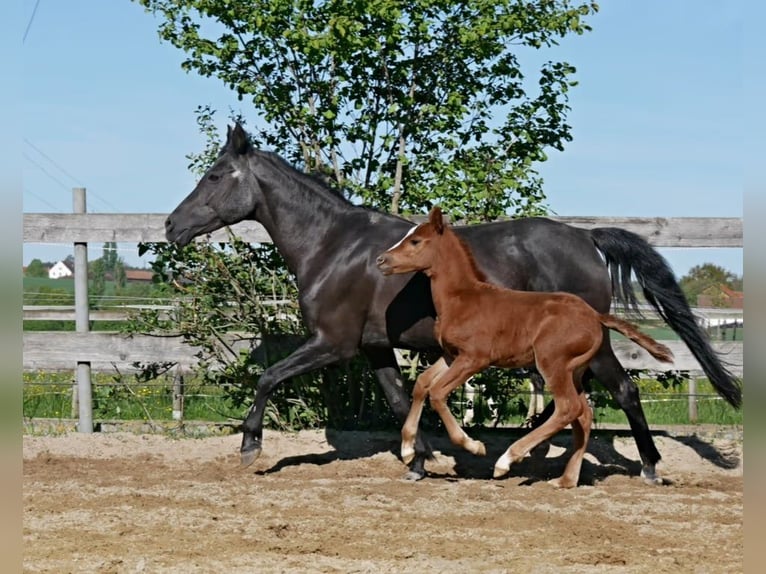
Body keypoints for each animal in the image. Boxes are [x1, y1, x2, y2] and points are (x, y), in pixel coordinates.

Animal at [376, 209, 672, 488]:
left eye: (415, 241)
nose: (381, 260)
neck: (463, 298)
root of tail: (595, 315)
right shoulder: (451, 356)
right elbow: (422, 384)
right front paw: (406, 450)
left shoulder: (474, 358)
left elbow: (437, 393)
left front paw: (474, 445)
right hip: (574, 371)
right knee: (583, 414)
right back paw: (566, 480)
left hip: (551, 364)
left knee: (568, 408)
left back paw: (506, 460)